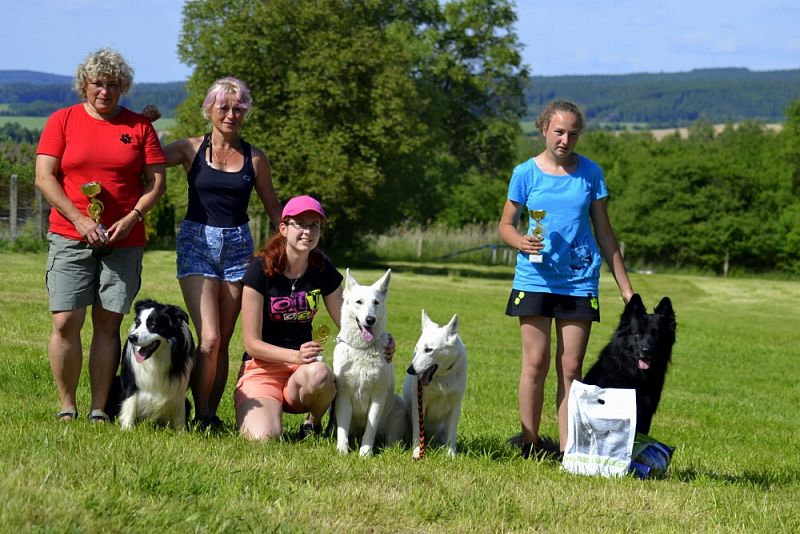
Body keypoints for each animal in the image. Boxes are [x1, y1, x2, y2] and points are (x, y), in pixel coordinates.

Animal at [332, 270, 406, 458]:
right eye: (359, 302)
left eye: (376, 303)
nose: (370, 319)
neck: (362, 349)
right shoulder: (343, 396)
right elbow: (342, 429)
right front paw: (342, 450)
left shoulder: (378, 397)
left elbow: (370, 429)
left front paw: (365, 452)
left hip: (397, 408)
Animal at [404, 312, 466, 458]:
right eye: (416, 349)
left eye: (428, 350)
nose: (410, 370)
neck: (442, 377)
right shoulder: (419, 405)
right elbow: (417, 432)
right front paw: (417, 451)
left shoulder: (455, 406)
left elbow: (452, 435)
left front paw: (451, 455)